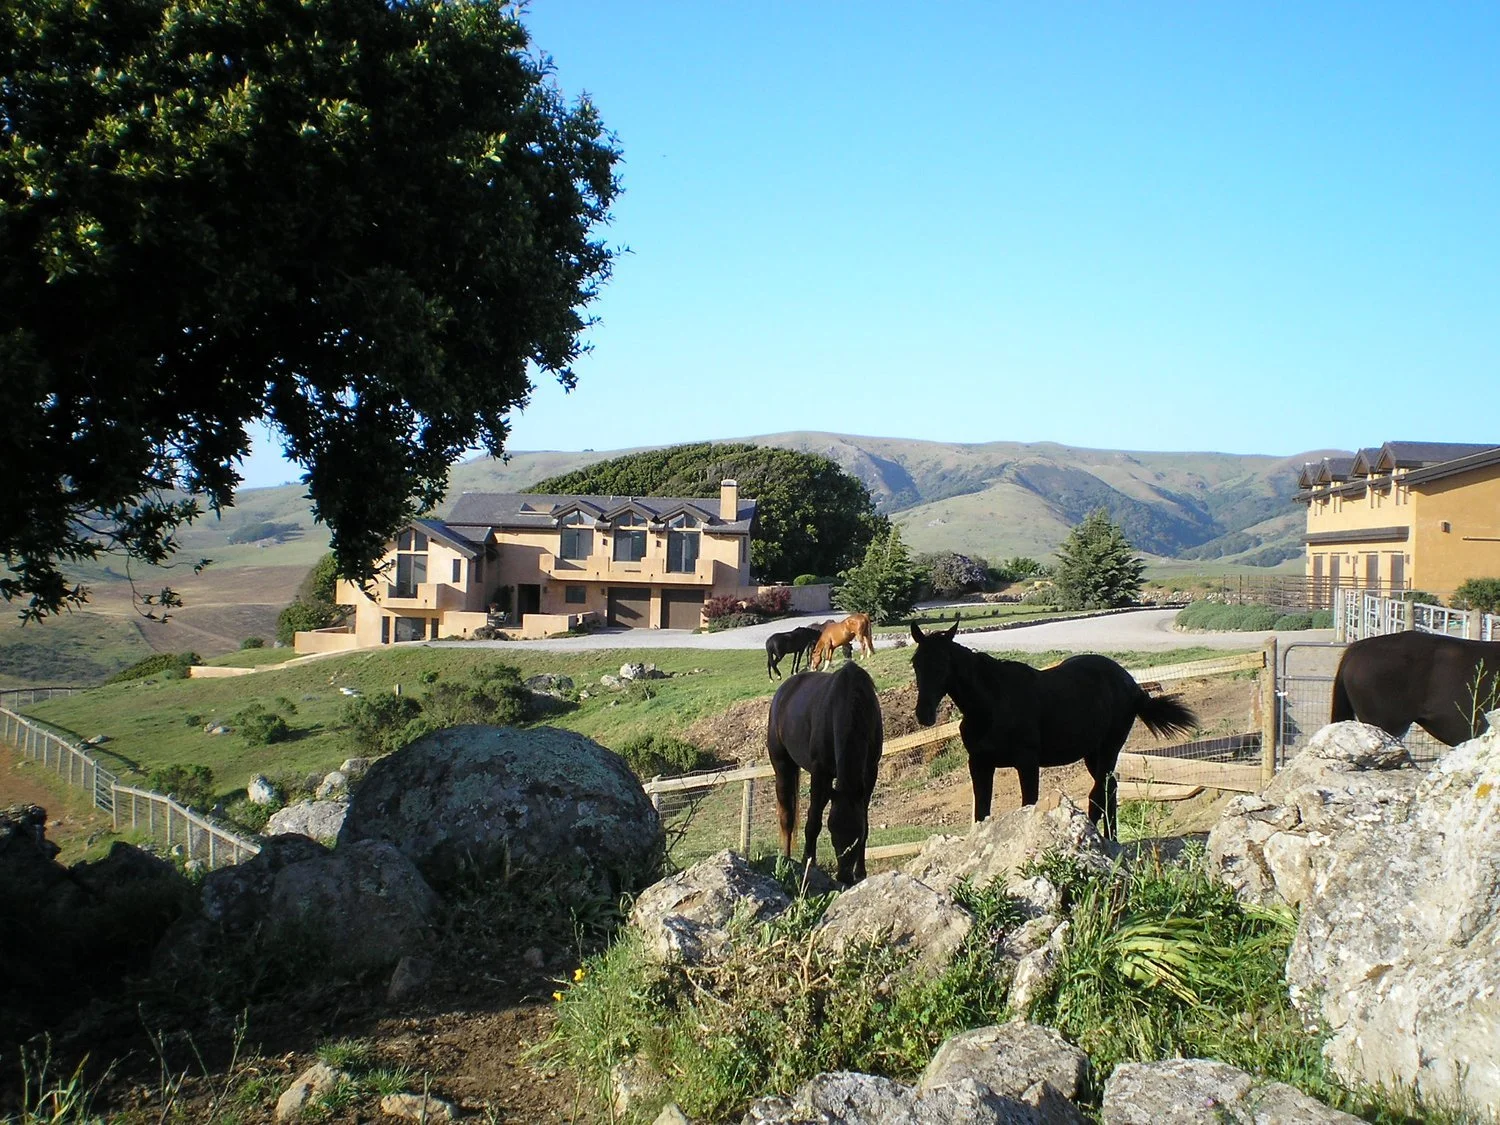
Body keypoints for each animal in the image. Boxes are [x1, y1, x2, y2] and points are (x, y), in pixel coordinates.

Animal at [766, 661, 884, 885]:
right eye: (832, 829)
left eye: (856, 833)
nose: (844, 877)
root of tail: (783, 691)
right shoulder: (820, 773)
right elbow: (813, 822)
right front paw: (808, 864)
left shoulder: (870, 772)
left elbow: (865, 820)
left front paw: (861, 872)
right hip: (783, 766)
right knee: (787, 817)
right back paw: (787, 861)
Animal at [908, 618, 1198, 837]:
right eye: (916, 663)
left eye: (944, 664)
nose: (924, 715)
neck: (992, 703)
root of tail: (1133, 685)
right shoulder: (979, 764)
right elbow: (981, 814)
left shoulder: (1027, 763)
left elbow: (1028, 804)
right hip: (1092, 755)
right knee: (1110, 791)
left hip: (1108, 750)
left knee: (1101, 794)